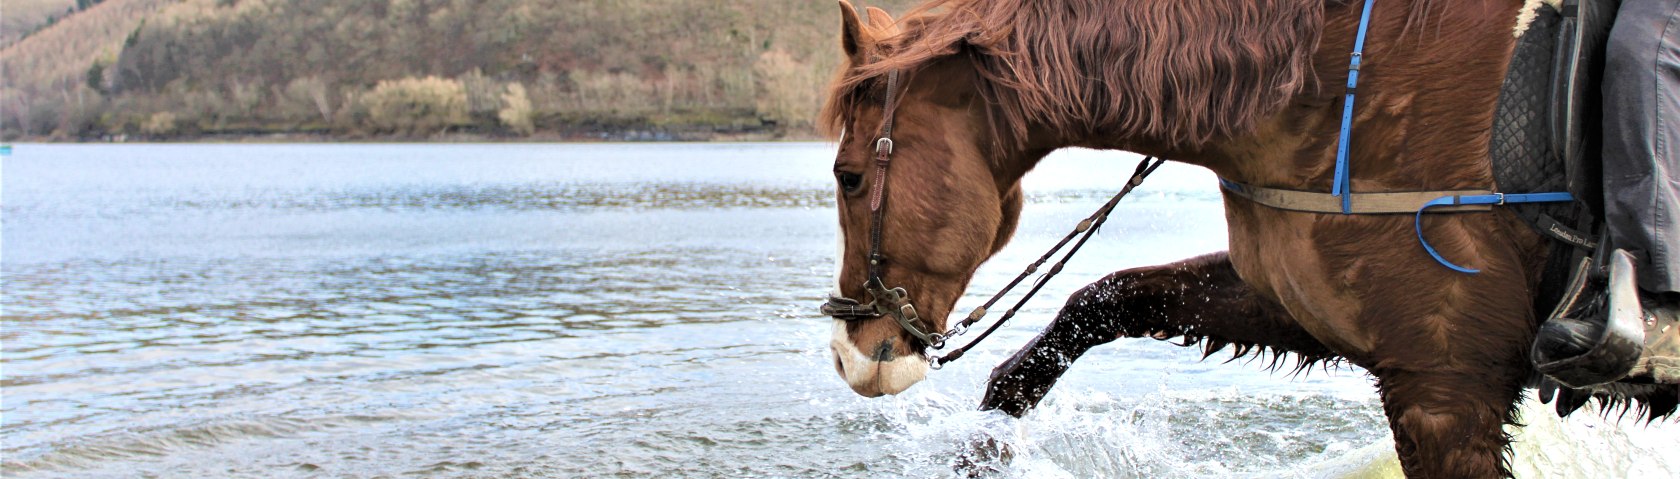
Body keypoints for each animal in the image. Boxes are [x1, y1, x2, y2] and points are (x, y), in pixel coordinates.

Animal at [826, 0, 1680, 473]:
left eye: (849, 176)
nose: (848, 353)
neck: (1333, 82)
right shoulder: (1299, 302)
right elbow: (1099, 303)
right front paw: (988, 442)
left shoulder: (1444, 388)